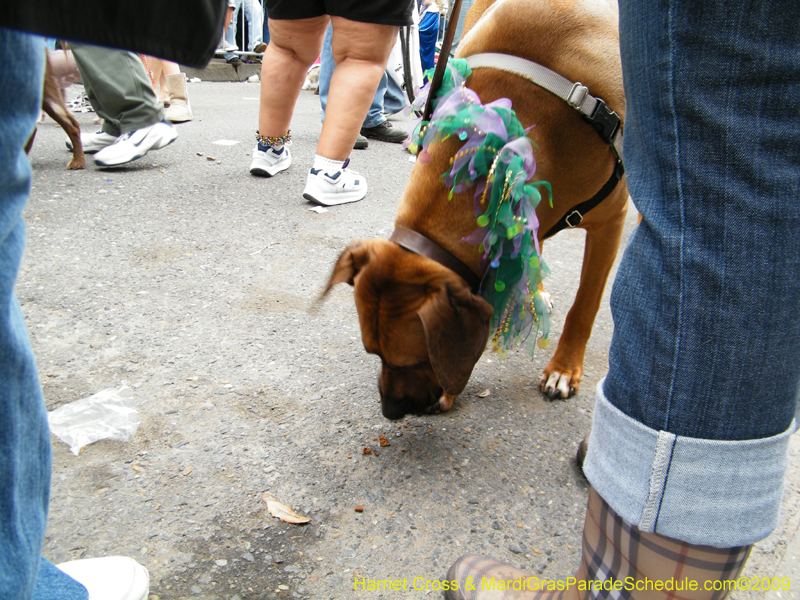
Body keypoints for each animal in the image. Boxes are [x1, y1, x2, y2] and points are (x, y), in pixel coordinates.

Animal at [322, 0, 628, 420]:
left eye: (414, 360)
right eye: (373, 353)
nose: (389, 411)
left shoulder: (612, 221)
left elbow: (586, 304)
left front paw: (564, 368)